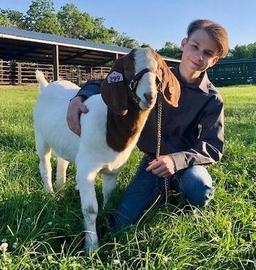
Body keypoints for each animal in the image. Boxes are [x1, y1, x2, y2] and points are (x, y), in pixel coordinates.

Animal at [33, 47, 181, 253]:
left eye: (159, 69)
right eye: (128, 69)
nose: (149, 96)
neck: (110, 127)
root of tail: (47, 86)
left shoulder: (113, 169)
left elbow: (109, 195)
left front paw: (107, 217)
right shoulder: (87, 168)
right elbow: (90, 209)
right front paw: (92, 246)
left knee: (62, 162)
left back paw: (61, 189)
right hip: (40, 136)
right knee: (44, 164)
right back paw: (50, 193)